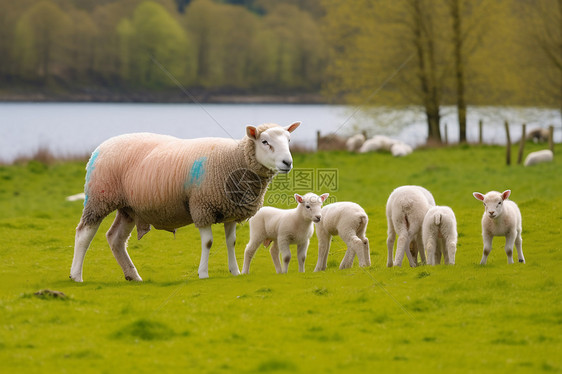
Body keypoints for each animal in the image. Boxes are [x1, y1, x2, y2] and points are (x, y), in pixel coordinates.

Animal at [70, 121, 302, 282]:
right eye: (265, 142)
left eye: (289, 141)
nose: (287, 162)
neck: (233, 159)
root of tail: (100, 147)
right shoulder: (202, 207)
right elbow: (208, 243)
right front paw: (203, 273)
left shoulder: (230, 211)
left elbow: (231, 242)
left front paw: (235, 271)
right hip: (100, 197)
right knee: (84, 233)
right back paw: (76, 275)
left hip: (129, 208)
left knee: (115, 239)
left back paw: (133, 276)